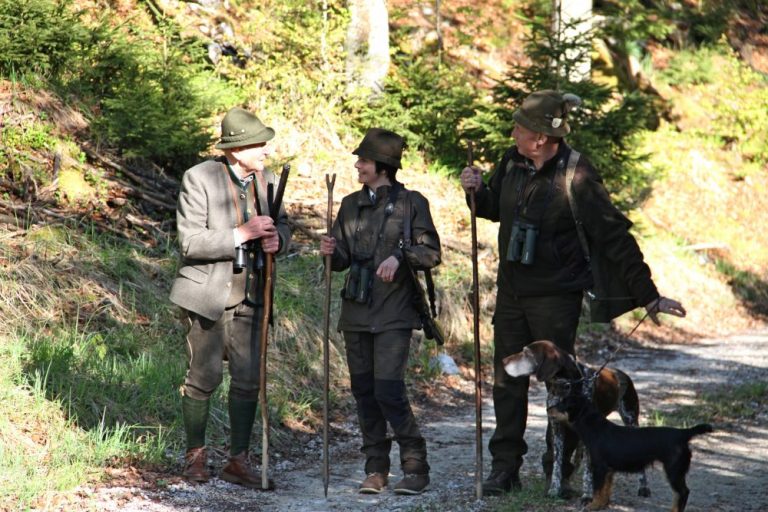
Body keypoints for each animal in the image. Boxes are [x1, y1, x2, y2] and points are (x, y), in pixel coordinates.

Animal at [504, 340, 648, 500]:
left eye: (527, 353)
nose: (503, 361)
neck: (567, 384)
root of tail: (623, 375)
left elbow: (587, 470)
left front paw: (587, 496)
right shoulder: (557, 428)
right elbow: (557, 465)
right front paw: (554, 490)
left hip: (631, 420)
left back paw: (643, 488)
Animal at [548, 392, 712, 512]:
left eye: (563, 403)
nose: (548, 409)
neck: (594, 426)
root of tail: (683, 434)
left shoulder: (599, 468)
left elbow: (597, 489)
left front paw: (592, 506)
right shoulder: (608, 470)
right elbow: (605, 490)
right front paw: (602, 505)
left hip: (673, 471)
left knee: (683, 492)